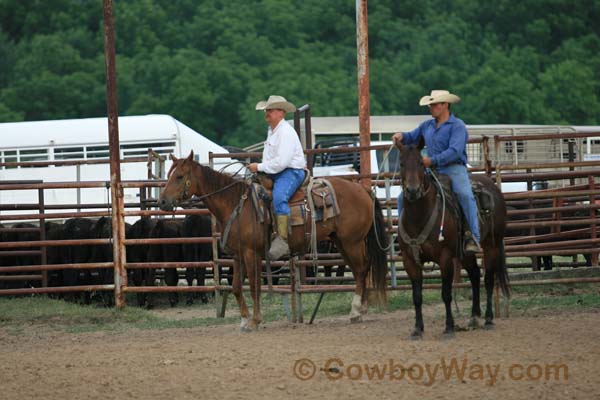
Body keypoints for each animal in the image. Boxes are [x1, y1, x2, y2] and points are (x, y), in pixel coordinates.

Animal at [157, 150, 386, 332]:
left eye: (179, 176)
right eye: (168, 175)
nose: (162, 202)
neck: (236, 204)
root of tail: (363, 189)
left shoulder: (251, 253)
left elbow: (254, 286)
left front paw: (255, 321)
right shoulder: (238, 255)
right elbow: (236, 287)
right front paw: (244, 320)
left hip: (352, 241)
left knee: (362, 268)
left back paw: (356, 310)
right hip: (341, 242)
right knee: (360, 269)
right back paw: (362, 308)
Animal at [396, 141, 508, 338]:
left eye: (420, 163)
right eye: (402, 163)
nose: (412, 191)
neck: (419, 217)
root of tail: (493, 187)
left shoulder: (445, 257)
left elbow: (446, 294)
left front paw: (449, 326)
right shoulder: (409, 260)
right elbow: (417, 296)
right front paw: (417, 328)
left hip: (492, 245)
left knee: (488, 279)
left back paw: (488, 318)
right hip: (465, 253)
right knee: (474, 275)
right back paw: (474, 317)